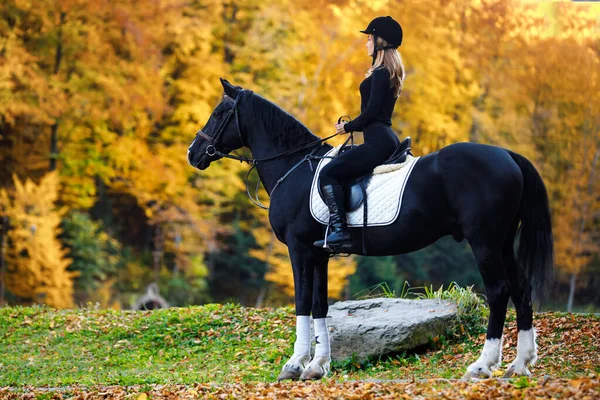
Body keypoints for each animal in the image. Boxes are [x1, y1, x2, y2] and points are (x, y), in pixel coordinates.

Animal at [188, 79, 552, 382]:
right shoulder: (319, 254)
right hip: (502, 242)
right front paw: (318, 367)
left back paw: (482, 365)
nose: (193, 153)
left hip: (485, 242)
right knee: (521, 289)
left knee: (499, 291)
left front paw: (294, 365)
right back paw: (519, 365)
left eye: (218, 113)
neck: (294, 168)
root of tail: (507, 155)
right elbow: (320, 305)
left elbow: (302, 302)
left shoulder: (299, 248)